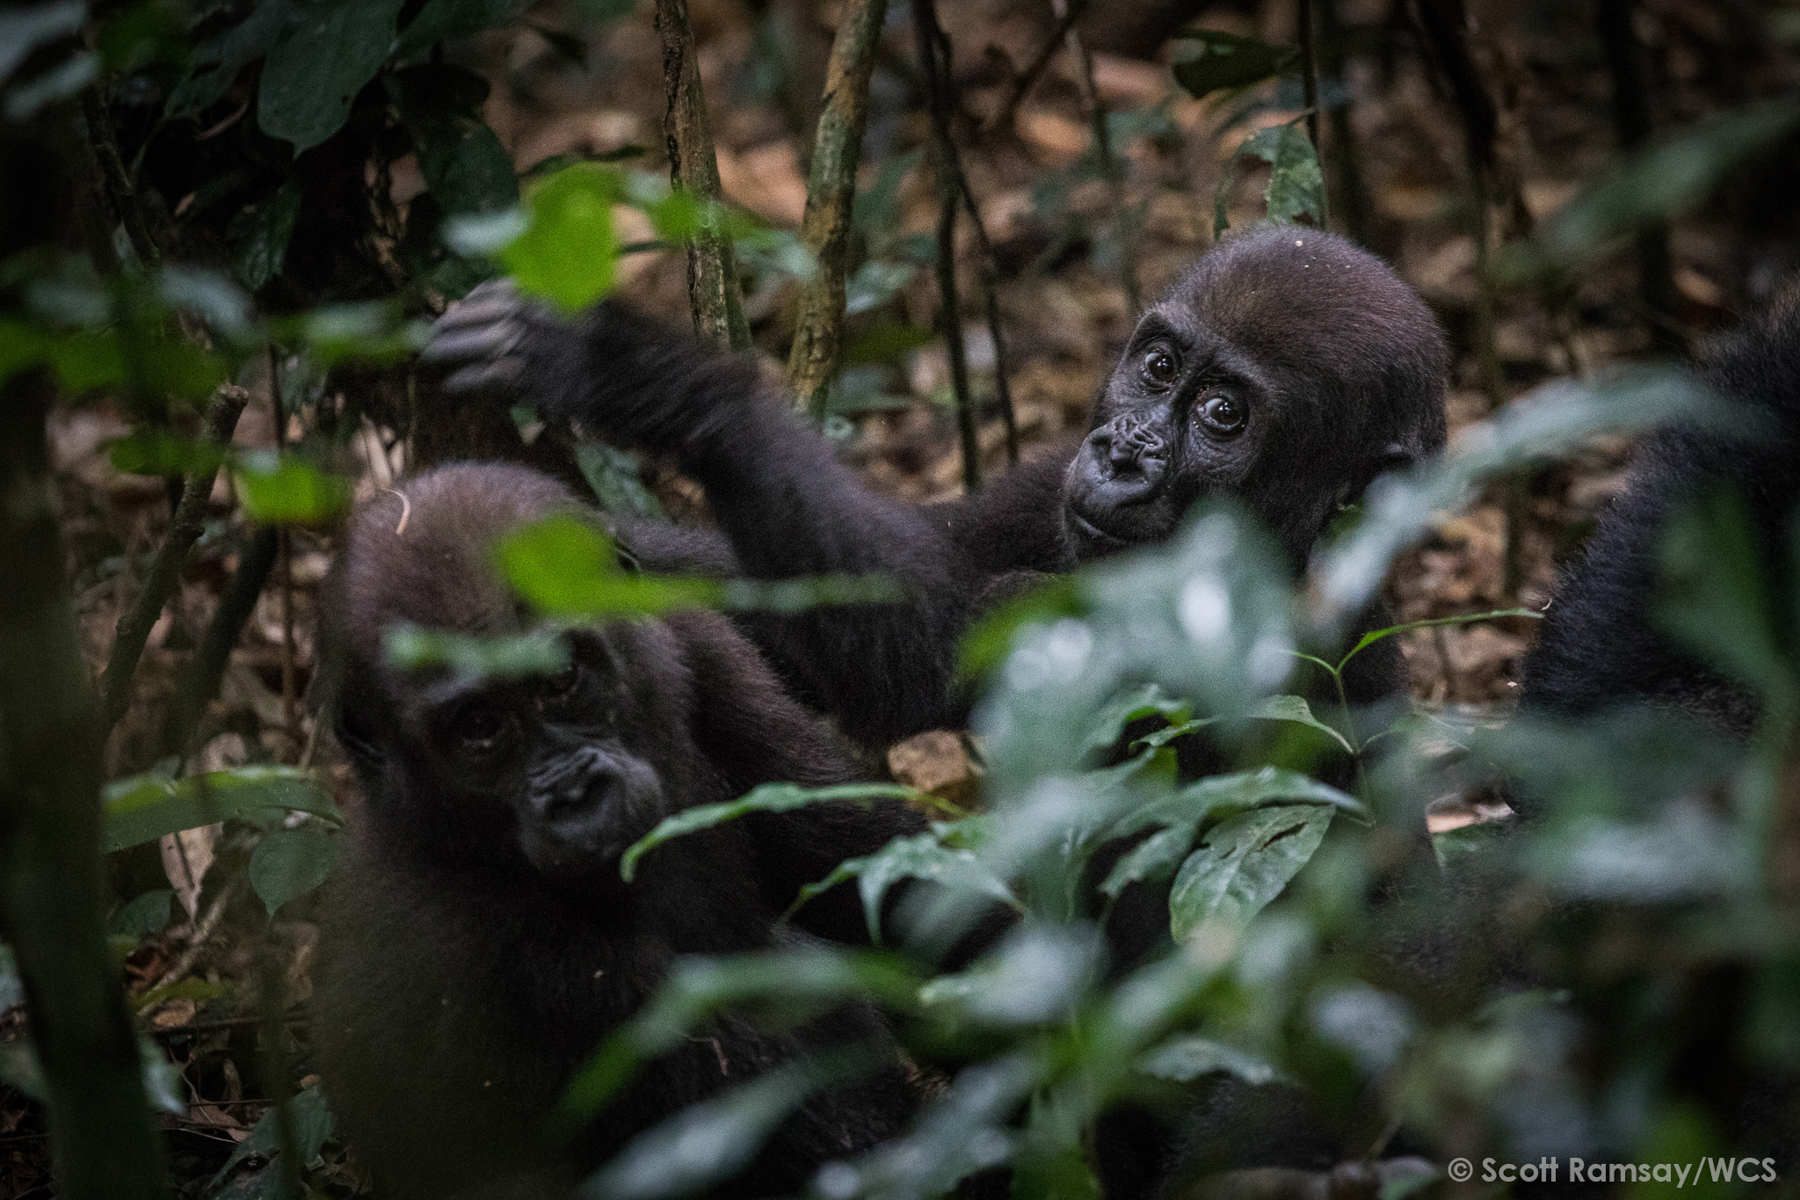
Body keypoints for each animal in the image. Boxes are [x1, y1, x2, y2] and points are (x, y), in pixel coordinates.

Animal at [309, 462, 926, 1200]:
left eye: (561, 678)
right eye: (479, 729)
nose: (574, 794)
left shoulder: (698, 646)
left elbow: (860, 854)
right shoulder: (475, 939)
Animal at [420, 225, 1450, 755]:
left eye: (1224, 415)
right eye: (1159, 368)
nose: (1123, 454)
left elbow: (917, 664)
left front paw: (655, 379)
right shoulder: (1039, 487)